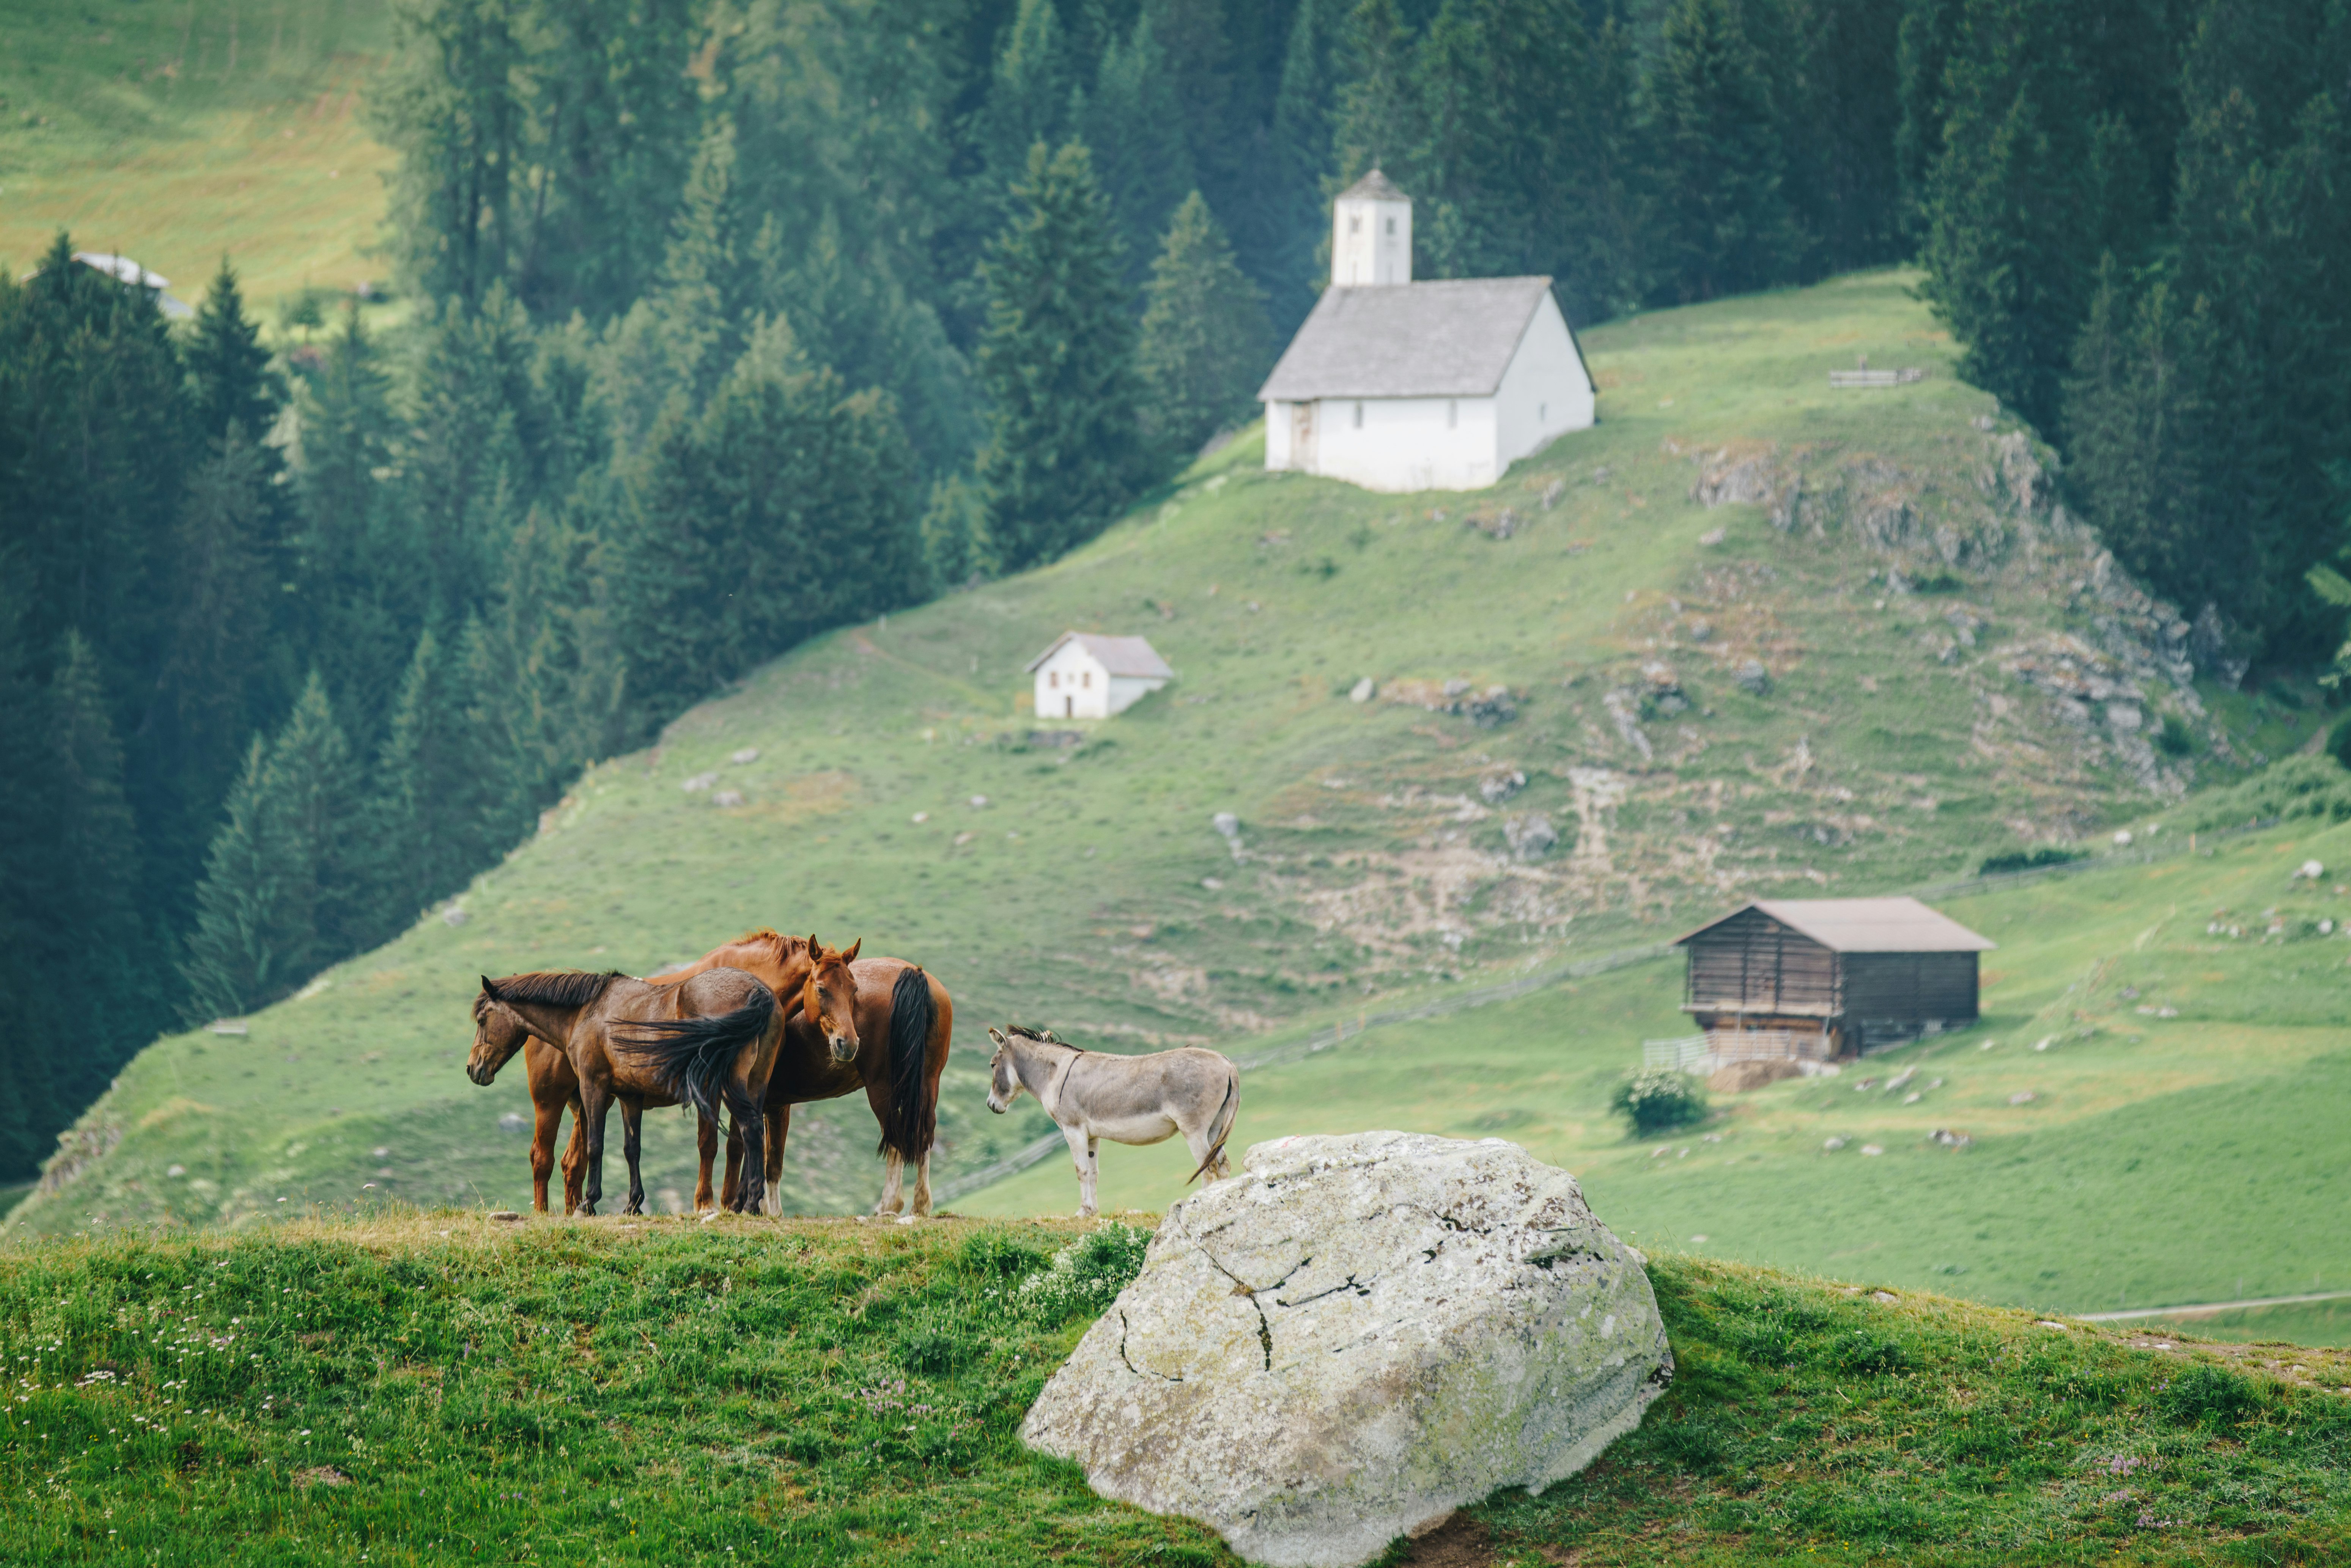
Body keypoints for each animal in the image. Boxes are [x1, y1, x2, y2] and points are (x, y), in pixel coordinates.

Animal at [465, 968, 781, 1213]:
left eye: (482, 1019)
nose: (473, 1068)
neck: (588, 1012)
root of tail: (758, 991)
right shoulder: (631, 1097)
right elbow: (633, 1149)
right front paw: (633, 1204)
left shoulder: (594, 1087)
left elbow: (596, 1144)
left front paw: (589, 1203)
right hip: (756, 1085)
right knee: (753, 1134)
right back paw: (744, 1202)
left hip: (729, 1086)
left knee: (751, 1130)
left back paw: (751, 1203)